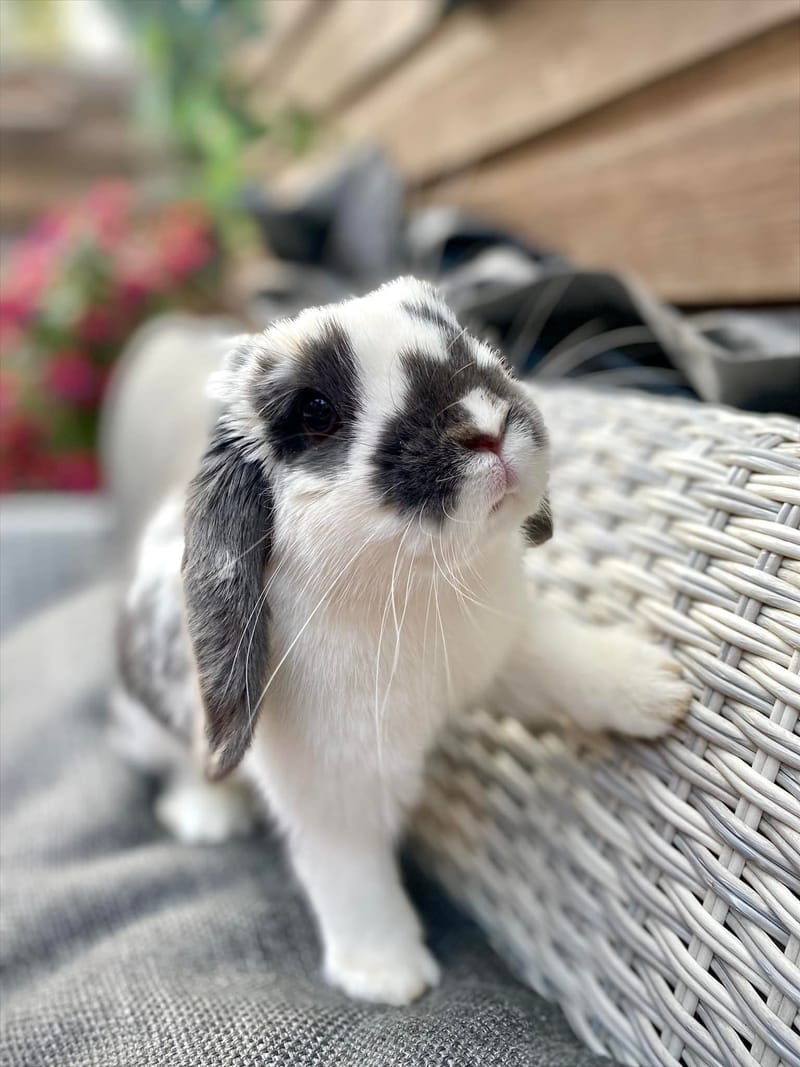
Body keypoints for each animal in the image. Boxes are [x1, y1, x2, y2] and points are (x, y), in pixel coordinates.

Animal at [111, 277, 692, 1006]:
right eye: (315, 412)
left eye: (462, 338)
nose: (485, 426)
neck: (416, 588)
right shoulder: (332, 789)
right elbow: (352, 876)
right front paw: (389, 976)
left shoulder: (507, 648)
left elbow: (562, 665)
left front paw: (657, 688)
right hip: (156, 721)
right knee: (178, 764)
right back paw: (208, 814)